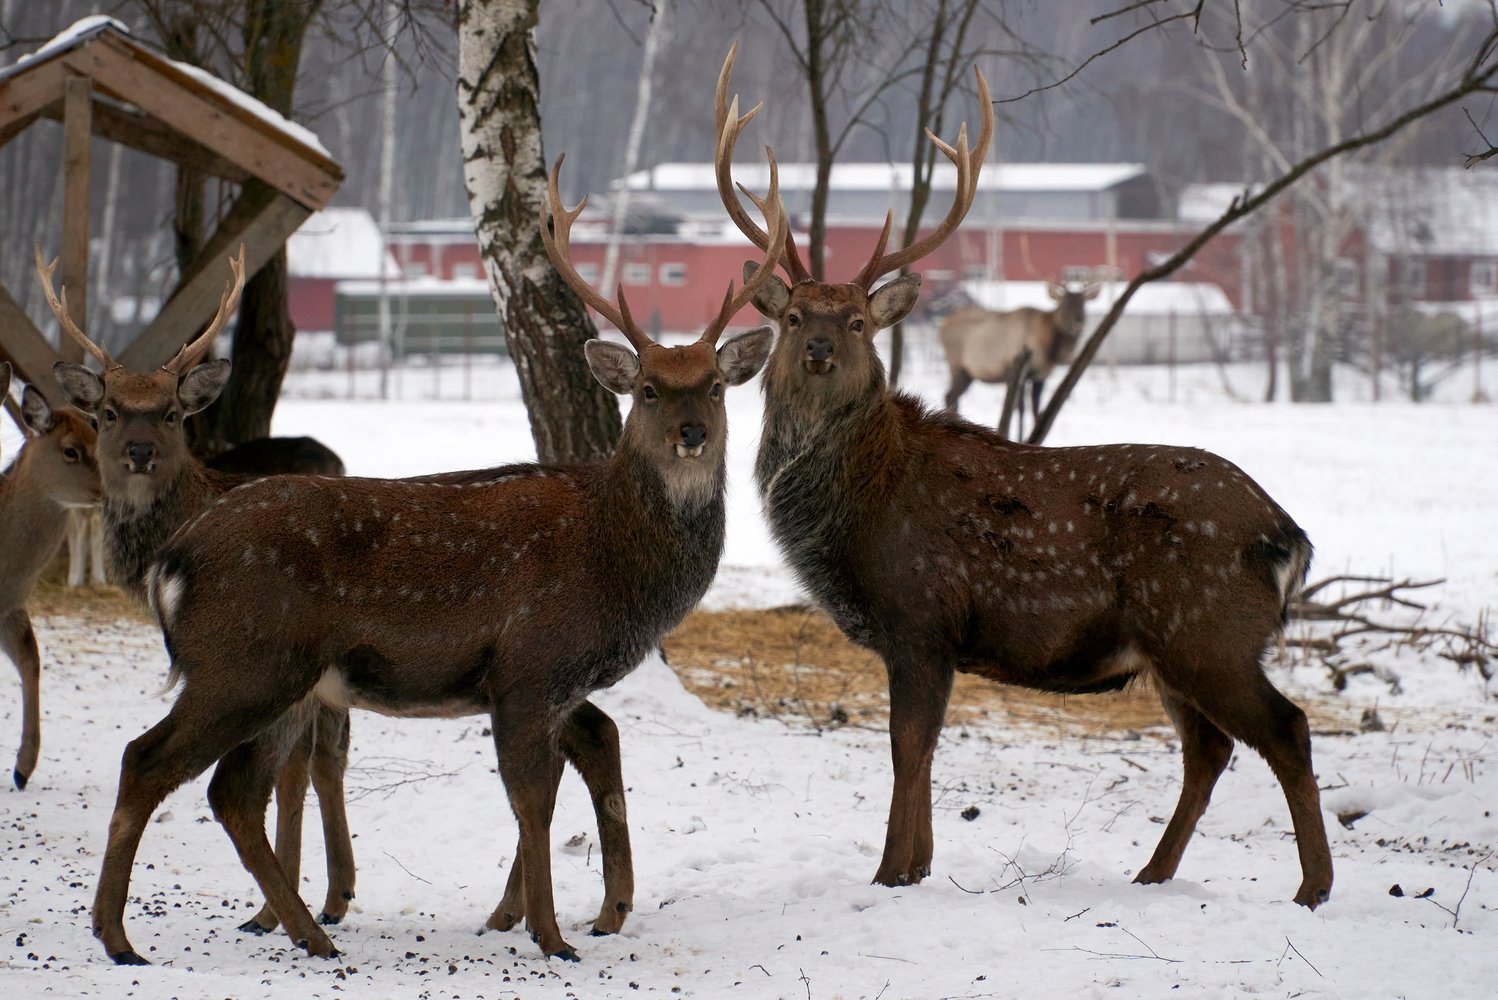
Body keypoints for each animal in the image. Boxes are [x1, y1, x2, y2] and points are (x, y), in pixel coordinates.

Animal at [85, 148, 784, 970]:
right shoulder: (532, 666)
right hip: (242, 663)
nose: (690, 433)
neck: (611, 556)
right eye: (647, 389)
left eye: (716, 388)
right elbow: (533, 803)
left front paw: (544, 919)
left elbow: (554, 787)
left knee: (232, 789)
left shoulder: (551, 686)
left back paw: (307, 931)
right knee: (150, 759)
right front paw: (552, 936)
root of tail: (173, 559)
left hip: (279, 679)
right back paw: (123, 938)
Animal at [940, 281, 1108, 437]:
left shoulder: (1041, 374)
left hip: (969, 374)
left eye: (1083, 303)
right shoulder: (1019, 370)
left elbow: (1036, 408)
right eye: (1064, 303)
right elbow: (1020, 408)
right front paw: (1019, 437)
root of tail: (944, 323)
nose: (1078, 322)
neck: (1049, 350)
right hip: (956, 365)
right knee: (951, 395)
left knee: (951, 395)